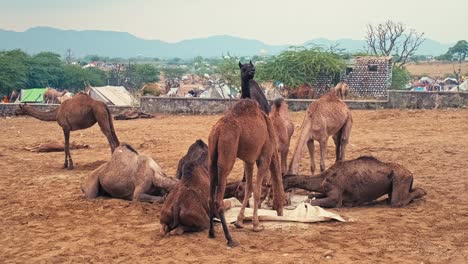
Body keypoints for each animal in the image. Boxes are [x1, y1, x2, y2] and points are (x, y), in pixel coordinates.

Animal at [208, 99, 286, 248]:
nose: (281, 212)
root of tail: (218, 131)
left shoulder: (248, 160)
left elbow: (248, 188)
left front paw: (239, 222)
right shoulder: (265, 157)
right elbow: (256, 190)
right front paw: (256, 225)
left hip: (212, 158)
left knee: (210, 197)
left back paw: (211, 233)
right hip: (228, 152)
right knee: (218, 199)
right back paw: (230, 239)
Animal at [282, 156, 428, 207]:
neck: (323, 179)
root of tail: (410, 173)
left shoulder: (336, 196)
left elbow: (310, 201)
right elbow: (312, 195)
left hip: (400, 178)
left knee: (397, 201)